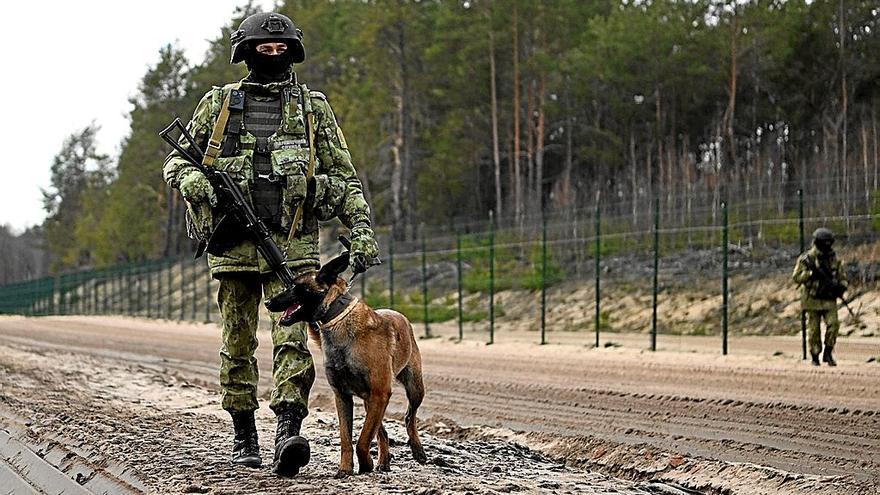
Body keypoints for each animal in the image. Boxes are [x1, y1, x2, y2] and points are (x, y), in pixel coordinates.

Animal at [276, 252, 426, 476]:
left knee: (409, 417)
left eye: (295, 286)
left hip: (413, 388)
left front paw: (365, 464)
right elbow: (347, 438)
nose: (268, 302)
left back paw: (417, 450)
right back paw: (384, 461)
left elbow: (362, 440)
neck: (336, 317)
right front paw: (345, 469)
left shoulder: (379, 392)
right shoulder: (343, 396)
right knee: (382, 431)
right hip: (371, 401)